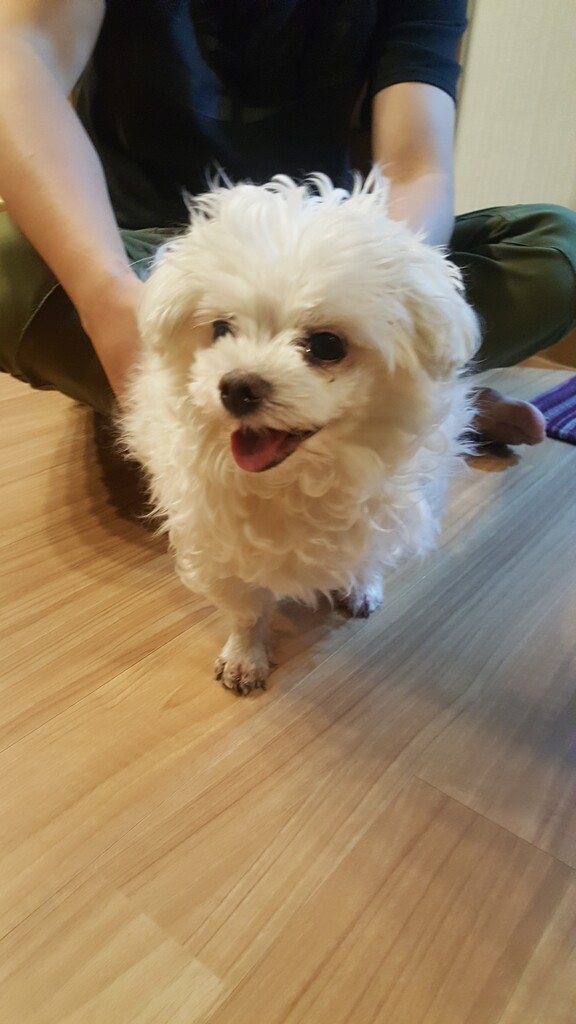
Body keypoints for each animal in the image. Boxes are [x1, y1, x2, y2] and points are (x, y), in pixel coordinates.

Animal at [121, 172, 480, 694]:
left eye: (327, 345)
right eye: (221, 329)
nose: (237, 386)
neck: (297, 483)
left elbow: (365, 557)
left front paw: (361, 585)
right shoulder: (218, 543)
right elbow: (247, 609)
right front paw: (245, 655)